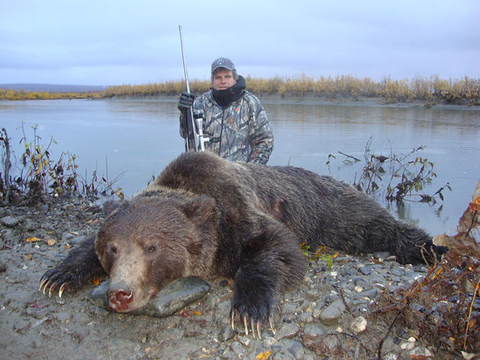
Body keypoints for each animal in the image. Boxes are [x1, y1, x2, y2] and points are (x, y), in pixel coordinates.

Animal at [40, 151, 446, 338]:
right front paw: (57, 276)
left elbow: (277, 249)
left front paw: (249, 311)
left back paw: (431, 249)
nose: (120, 293)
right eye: (113, 248)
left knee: (377, 225)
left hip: (333, 208)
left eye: (151, 246)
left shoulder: (239, 213)